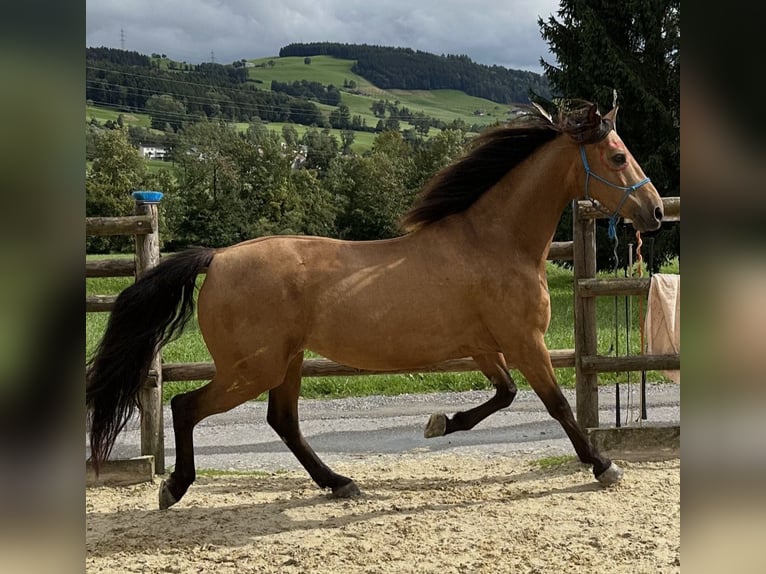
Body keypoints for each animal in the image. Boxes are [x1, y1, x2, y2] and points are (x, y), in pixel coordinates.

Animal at [85, 101, 664, 510]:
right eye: (617, 156)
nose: (655, 211)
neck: (495, 243)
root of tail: (217, 258)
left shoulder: (485, 346)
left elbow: (504, 395)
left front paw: (439, 423)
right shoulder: (526, 342)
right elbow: (557, 405)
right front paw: (604, 465)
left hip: (287, 362)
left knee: (283, 421)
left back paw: (339, 482)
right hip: (253, 368)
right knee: (187, 407)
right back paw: (174, 488)